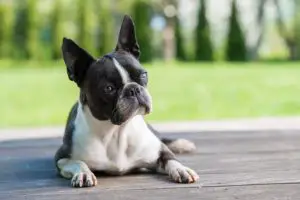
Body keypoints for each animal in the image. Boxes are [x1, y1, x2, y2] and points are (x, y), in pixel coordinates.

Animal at [54, 14, 199, 188]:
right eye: (109, 88)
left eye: (143, 75)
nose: (133, 89)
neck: (116, 132)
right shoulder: (61, 157)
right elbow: (78, 162)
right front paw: (83, 173)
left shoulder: (159, 151)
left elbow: (171, 158)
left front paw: (182, 169)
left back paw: (181, 144)